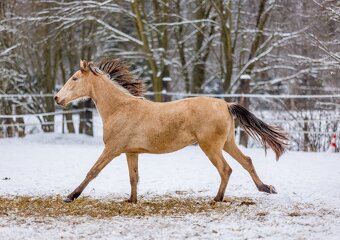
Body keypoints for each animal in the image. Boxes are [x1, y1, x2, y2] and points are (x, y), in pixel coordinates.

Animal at [54, 59, 288, 203]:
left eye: (75, 78)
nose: (57, 98)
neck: (120, 109)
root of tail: (226, 105)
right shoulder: (131, 152)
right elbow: (133, 177)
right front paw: (131, 200)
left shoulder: (112, 149)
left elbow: (92, 171)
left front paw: (70, 196)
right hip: (228, 143)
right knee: (246, 161)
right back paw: (266, 188)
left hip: (211, 147)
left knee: (226, 169)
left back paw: (217, 199)